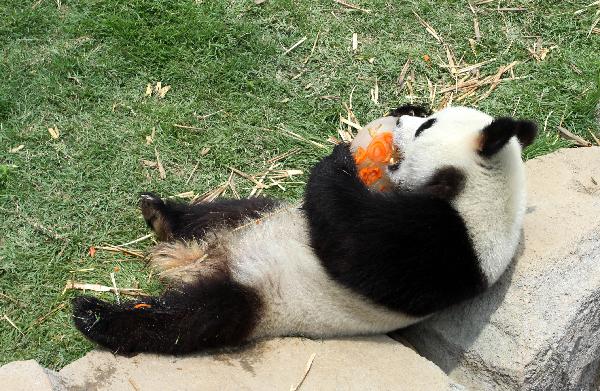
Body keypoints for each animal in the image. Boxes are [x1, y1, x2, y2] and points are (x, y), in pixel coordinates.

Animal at [72, 104, 536, 356]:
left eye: (425, 130)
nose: (404, 119)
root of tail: (210, 258)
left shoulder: (448, 247)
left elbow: (355, 247)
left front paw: (341, 158)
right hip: (262, 216)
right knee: (225, 211)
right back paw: (161, 214)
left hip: (264, 299)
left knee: (191, 319)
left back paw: (95, 315)